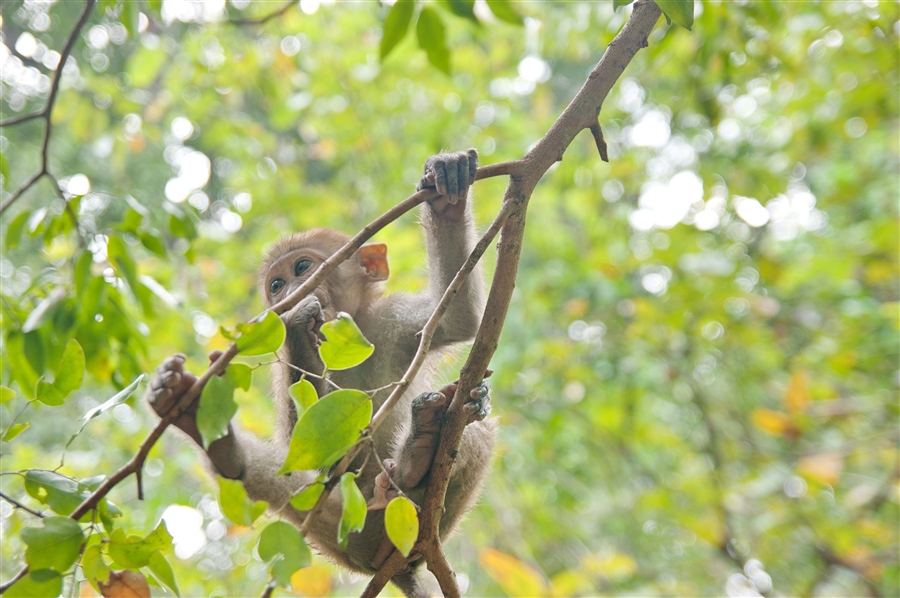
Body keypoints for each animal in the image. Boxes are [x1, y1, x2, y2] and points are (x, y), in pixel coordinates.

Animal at [149, 151, 500, 598]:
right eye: (276, 285)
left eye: (302, 267)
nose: (288, 295)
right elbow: (308, 447)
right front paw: (300, 327)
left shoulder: (392, 321)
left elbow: (457, 318)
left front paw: (446, 194)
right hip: (340, 531)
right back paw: (210, 434)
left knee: (470, 418)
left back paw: (418, 451)